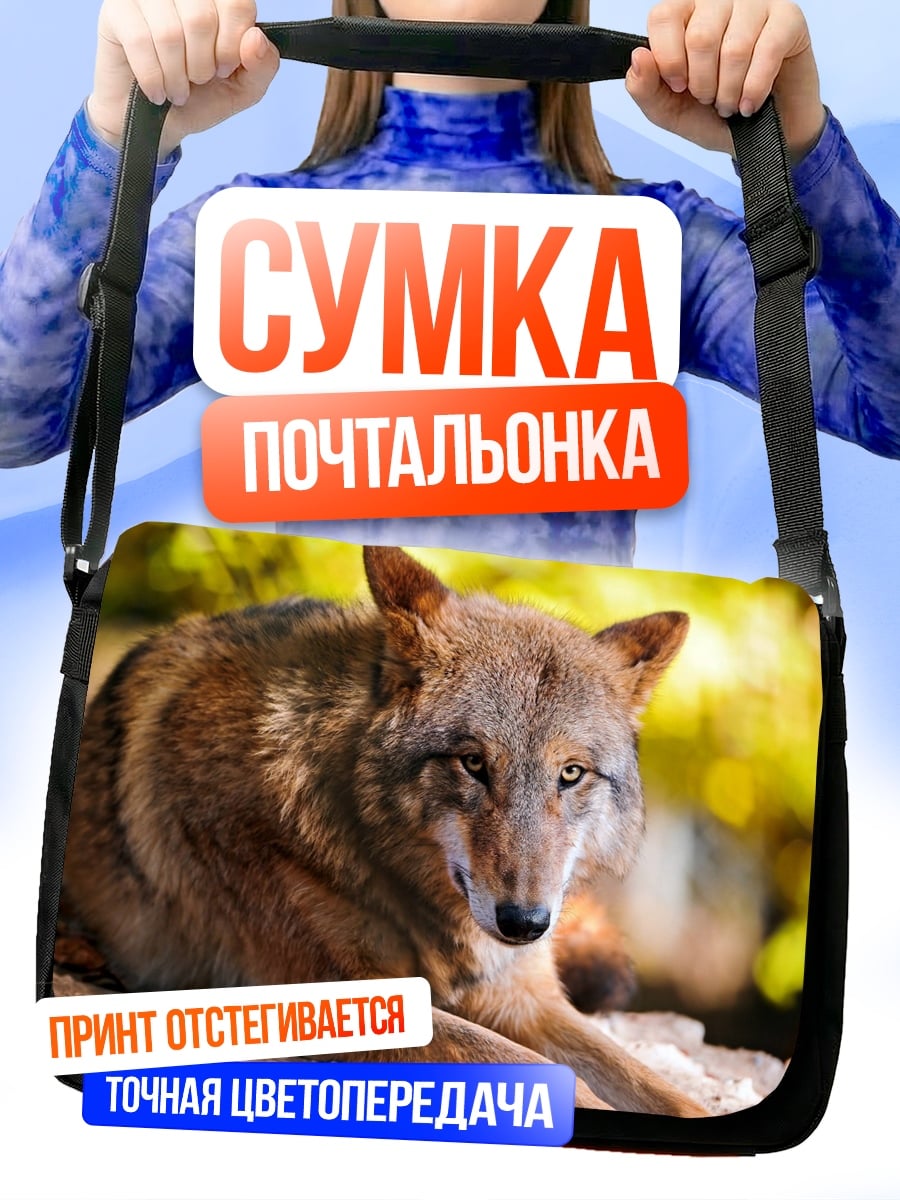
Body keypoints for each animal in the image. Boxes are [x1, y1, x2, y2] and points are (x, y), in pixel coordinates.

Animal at [61, 545, 703, 1116]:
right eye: (473, 762)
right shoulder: (344, 1002)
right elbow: (554, 1076)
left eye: (570, 774)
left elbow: (658, 1088)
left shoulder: (523, 996)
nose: (524, 924)